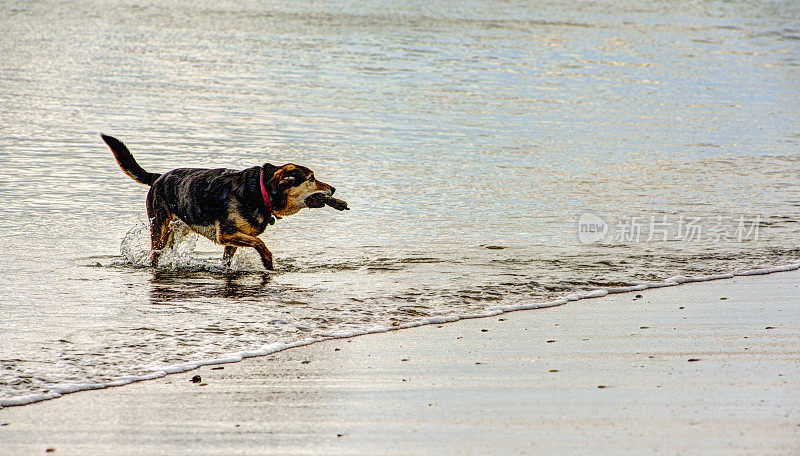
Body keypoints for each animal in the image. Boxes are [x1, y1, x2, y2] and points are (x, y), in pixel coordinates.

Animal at [100, 135, 346, 270]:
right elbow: (261, 243)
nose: (333, 189)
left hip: (176, 230)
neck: (261, 191)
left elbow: (230, 258)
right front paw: (268, 262)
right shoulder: (226, 233)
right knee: (155, 254)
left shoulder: (233, 238)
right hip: (159, 227)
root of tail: (159, 177)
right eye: (311, 178)